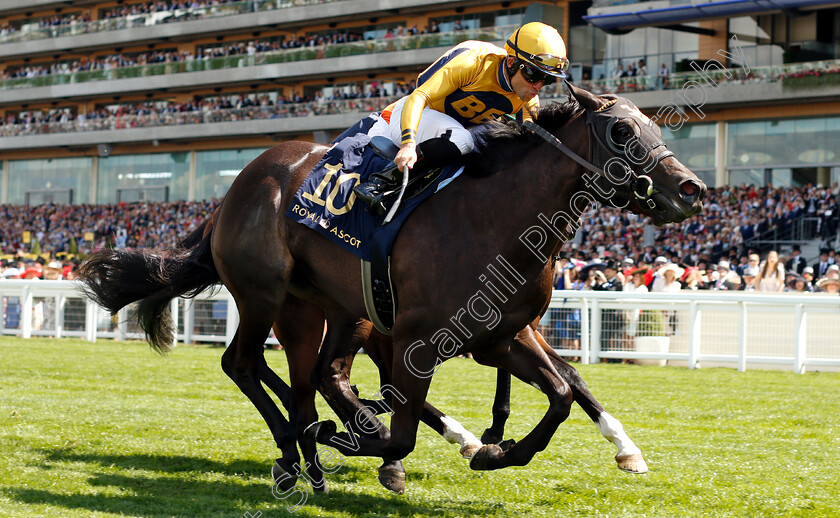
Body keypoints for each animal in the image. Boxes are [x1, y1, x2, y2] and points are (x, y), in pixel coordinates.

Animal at [77, 84, 704, 496]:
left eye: (656, 127)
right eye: (622, 131)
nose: (691, 189)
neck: (495, 219)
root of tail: (236, 186)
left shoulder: (501, 336)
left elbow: (564, 392)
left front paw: (500, 450)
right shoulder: (417, 338)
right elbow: (401, 432)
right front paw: (377, 442)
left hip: (327, 309)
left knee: (315, 376)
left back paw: (309, 453)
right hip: (265, 295)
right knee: (247, 364)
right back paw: (303, 448)